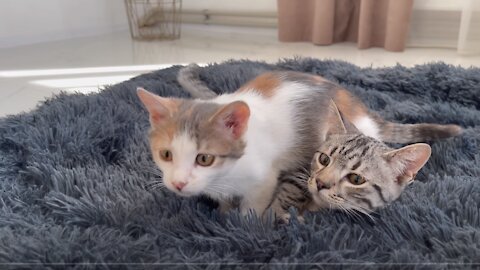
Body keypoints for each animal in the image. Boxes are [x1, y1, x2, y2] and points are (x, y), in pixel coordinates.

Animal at [136, 65, 462, 217]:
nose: (178, 183)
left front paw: (244, 227)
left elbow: (255, 206)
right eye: (166, 155)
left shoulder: (263, 179)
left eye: (204, 158)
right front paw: (223, 213)